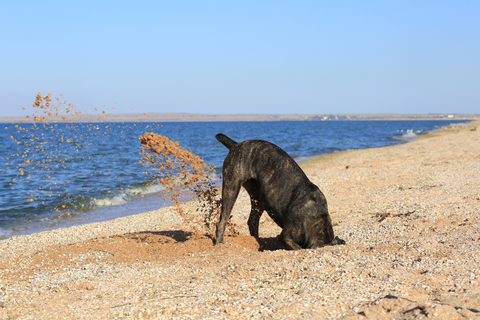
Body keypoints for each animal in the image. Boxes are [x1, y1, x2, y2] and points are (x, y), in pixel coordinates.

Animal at [215, 133, 344, 250]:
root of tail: (236, 145)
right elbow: (298, 248)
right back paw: (219, 243)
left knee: (252, 221)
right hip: (231, 188)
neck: (318, 218)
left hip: (258, 198)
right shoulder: (286, 236)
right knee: (222, 220)